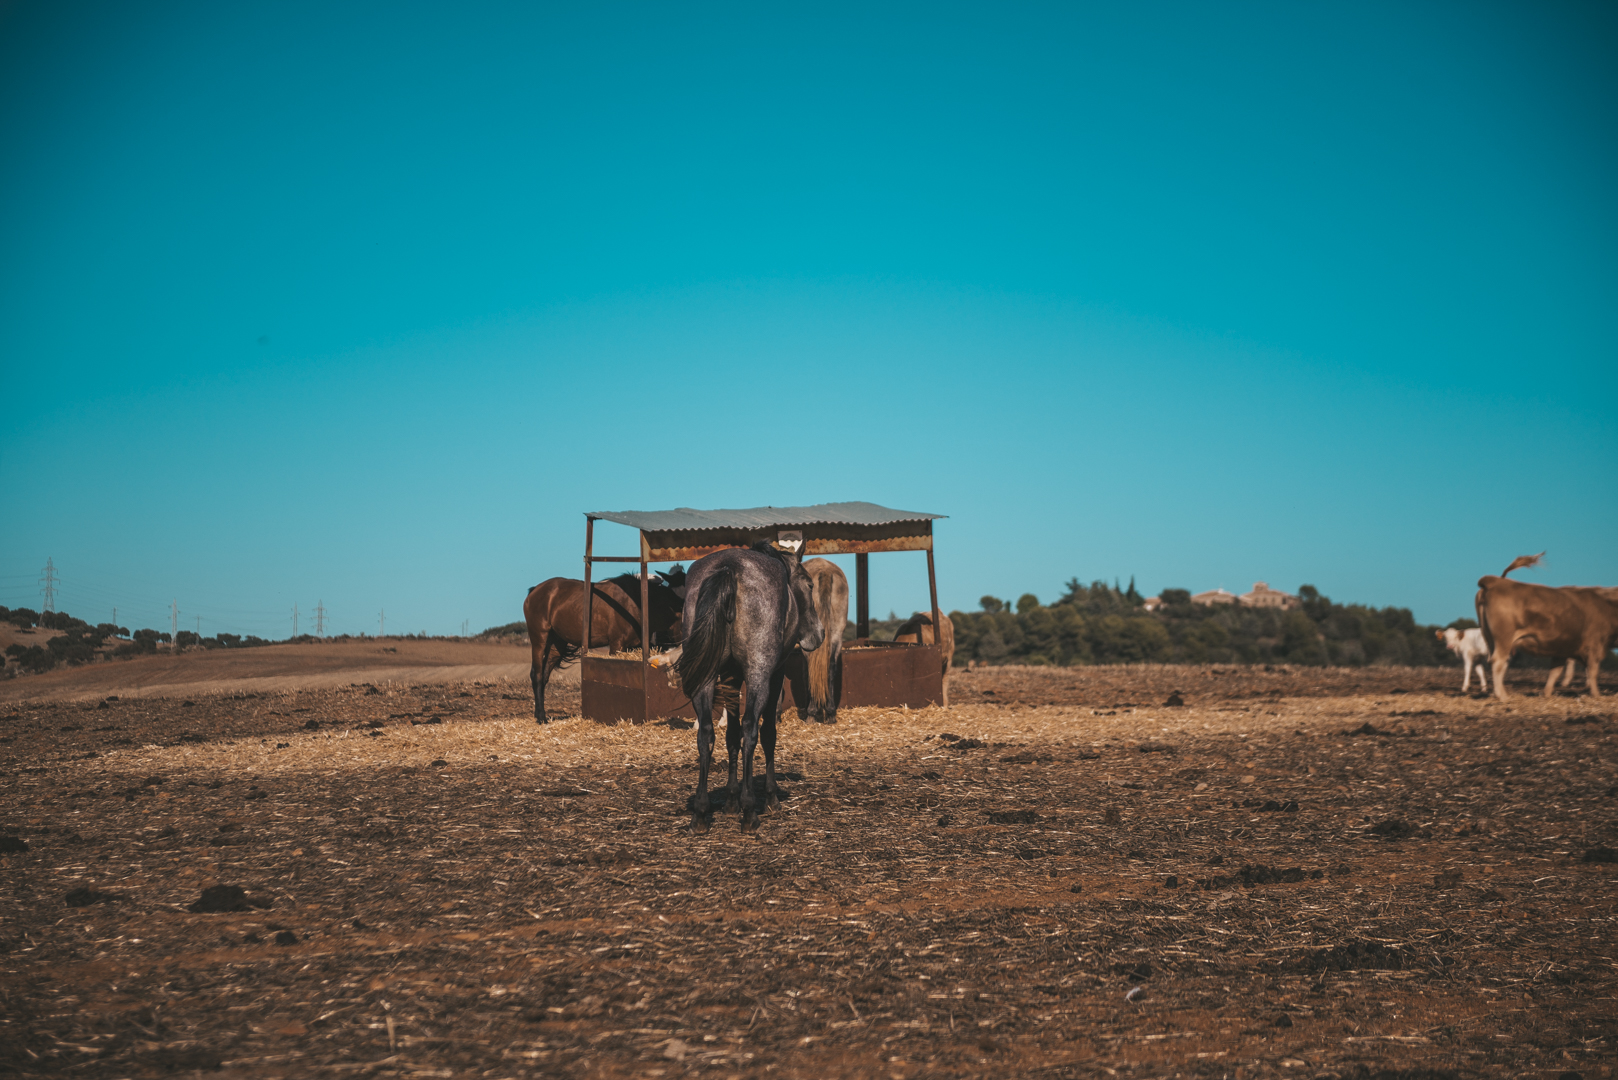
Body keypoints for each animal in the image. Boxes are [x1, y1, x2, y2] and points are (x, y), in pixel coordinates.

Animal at [524, 566, 682, 725]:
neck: (636, 604)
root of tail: (534, 590)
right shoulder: (617, 645)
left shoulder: (635, 646)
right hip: (539, 639)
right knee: (537, 675)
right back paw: (541, 717)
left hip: (557, 644)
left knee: (544, 675)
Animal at [673, 544, 821, 835]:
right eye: (809, 585)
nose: (818, 635)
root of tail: (729, 568)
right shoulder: (775, 675)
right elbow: (766, 734)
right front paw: (770, 798)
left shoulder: (730, 677)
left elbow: (731, 735)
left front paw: (731, 801)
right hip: (758, 674)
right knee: (752, 728)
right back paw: (750, 811)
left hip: (705, 678)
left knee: (705, 733)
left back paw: (701, 812)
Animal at [1482, 557, 1618, 702]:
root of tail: (1495, 581)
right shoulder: (1594, 647)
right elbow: (1593, 672)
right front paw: (1596, 694)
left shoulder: (1562, 650)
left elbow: (1554, 673)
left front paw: (1546, 694)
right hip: (1504, 640)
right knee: (1498, 662)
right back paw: (1502, 695)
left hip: (1492, 641)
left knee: (1499, 664)